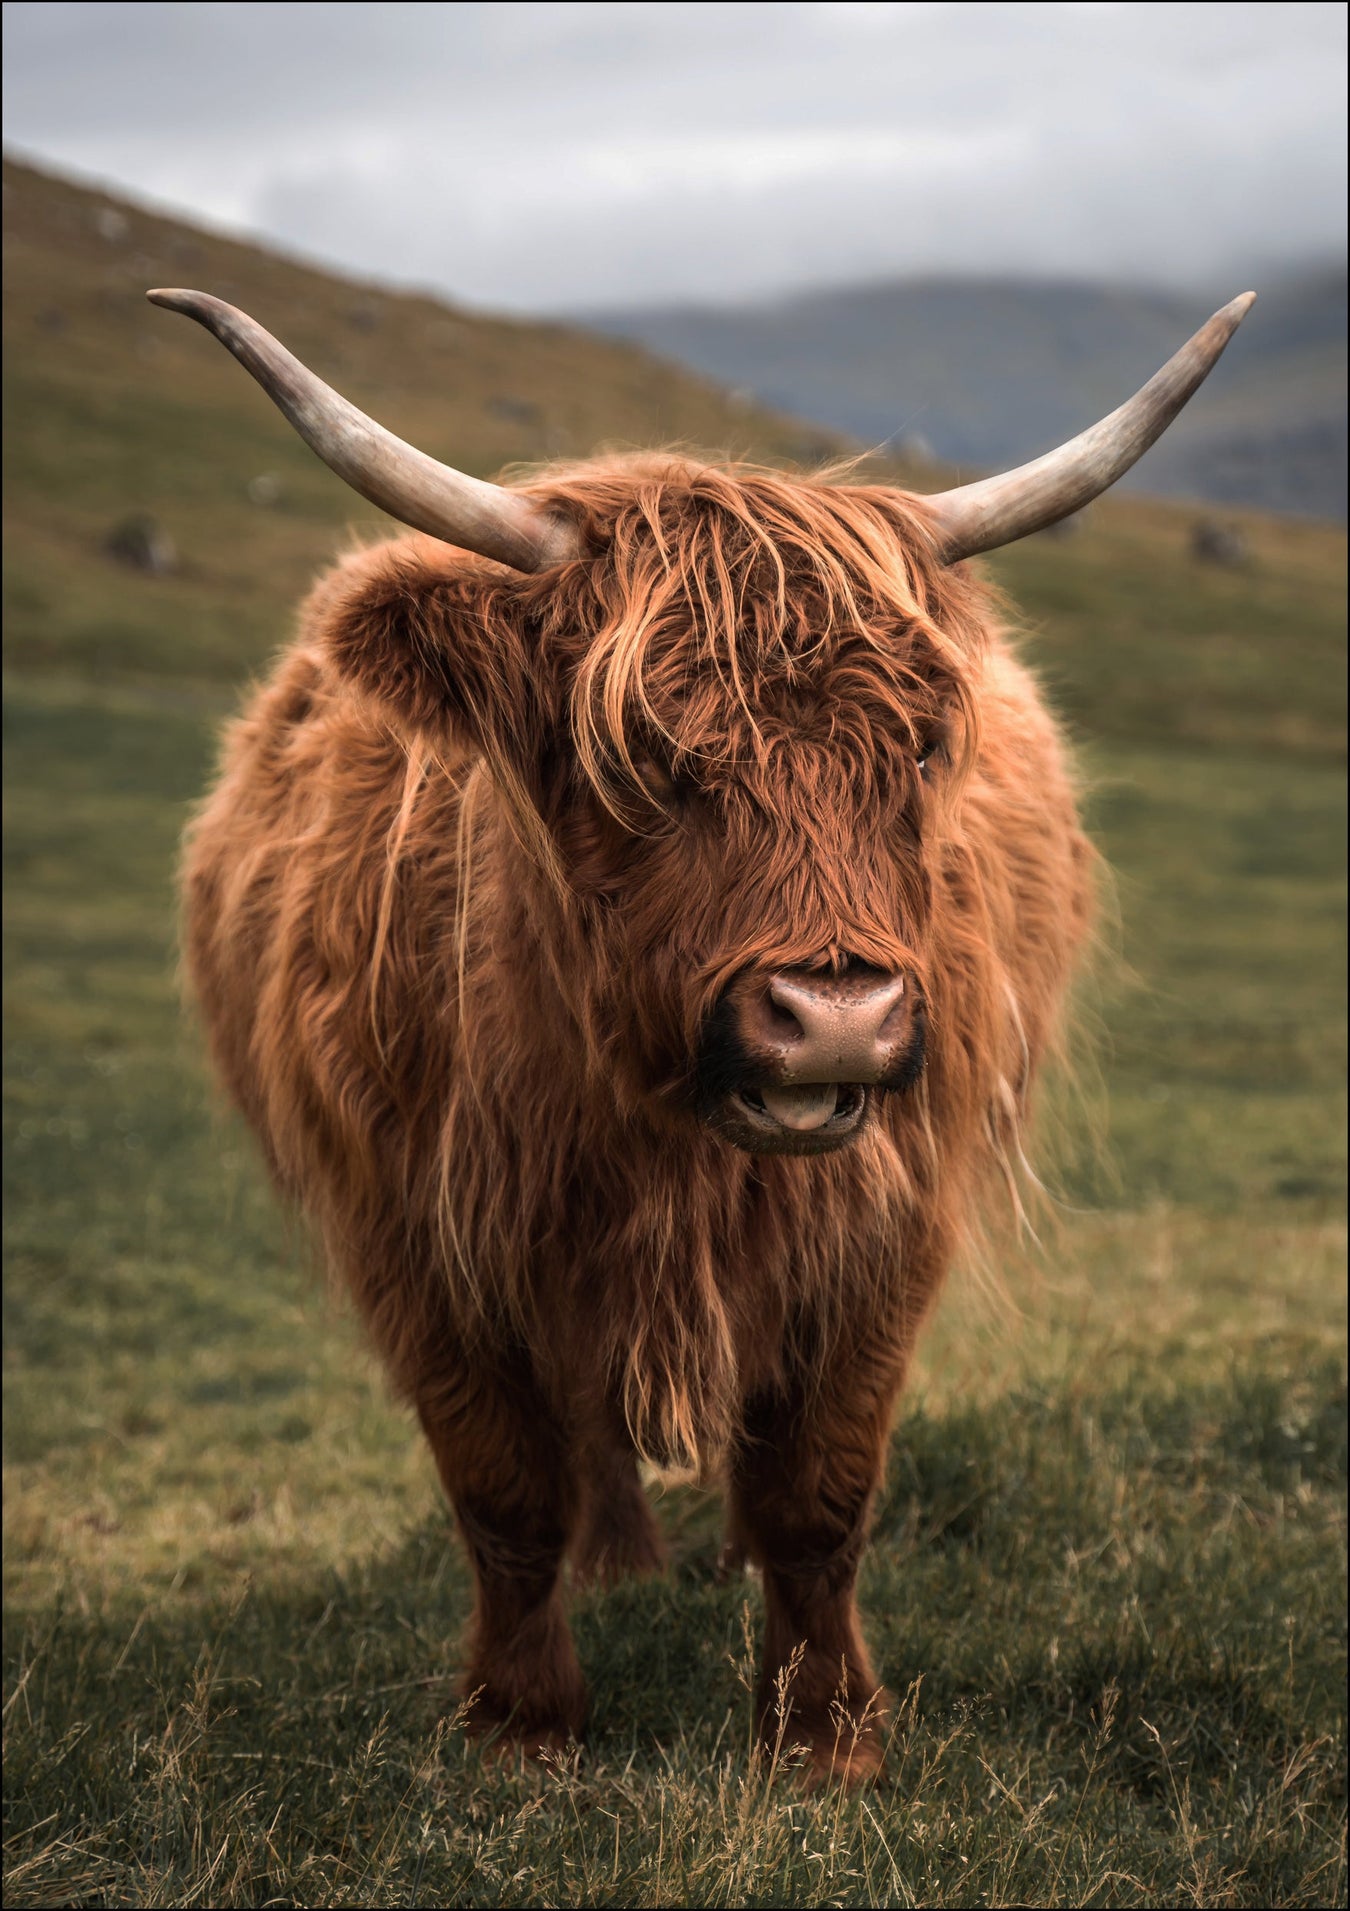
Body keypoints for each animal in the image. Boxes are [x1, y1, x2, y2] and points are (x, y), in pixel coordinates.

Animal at [153, 285, 1252, 1784]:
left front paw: (826, 1732)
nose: (836, 1017)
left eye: (919, 748)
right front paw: (520, 1723)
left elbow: (818, 1492)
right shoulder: (414, 1233)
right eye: (639, 758)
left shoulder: (883, 1228)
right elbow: (503, 1488)